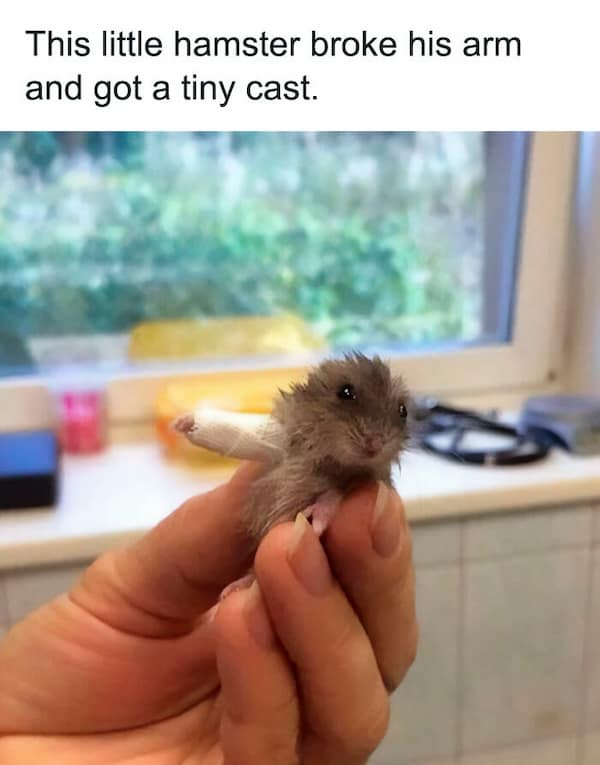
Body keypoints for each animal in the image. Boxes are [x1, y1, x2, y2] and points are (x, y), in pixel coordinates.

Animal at [176, 352, 411, 544]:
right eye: (345, 392)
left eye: (403, 410)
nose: (375, 444)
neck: (329, 460)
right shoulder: (281, 440)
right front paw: (183, 423)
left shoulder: (368, 478)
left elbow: (338, 491)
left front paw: (316, 521)